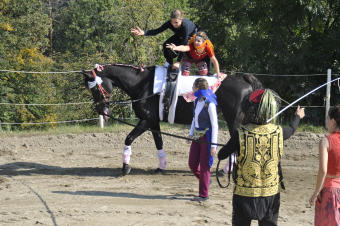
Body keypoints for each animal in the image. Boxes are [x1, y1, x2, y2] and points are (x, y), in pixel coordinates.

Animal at [83, 63, 262, 175]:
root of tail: (243, 79)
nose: (100, 109)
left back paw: (227, 170)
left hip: (233, 121)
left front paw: (125, 166)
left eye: (95, 89)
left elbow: (128, 138)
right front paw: (161, 166)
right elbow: (159, 142)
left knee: (237, 141)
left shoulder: (146, 121)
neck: (143, 85)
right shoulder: (153, 122)